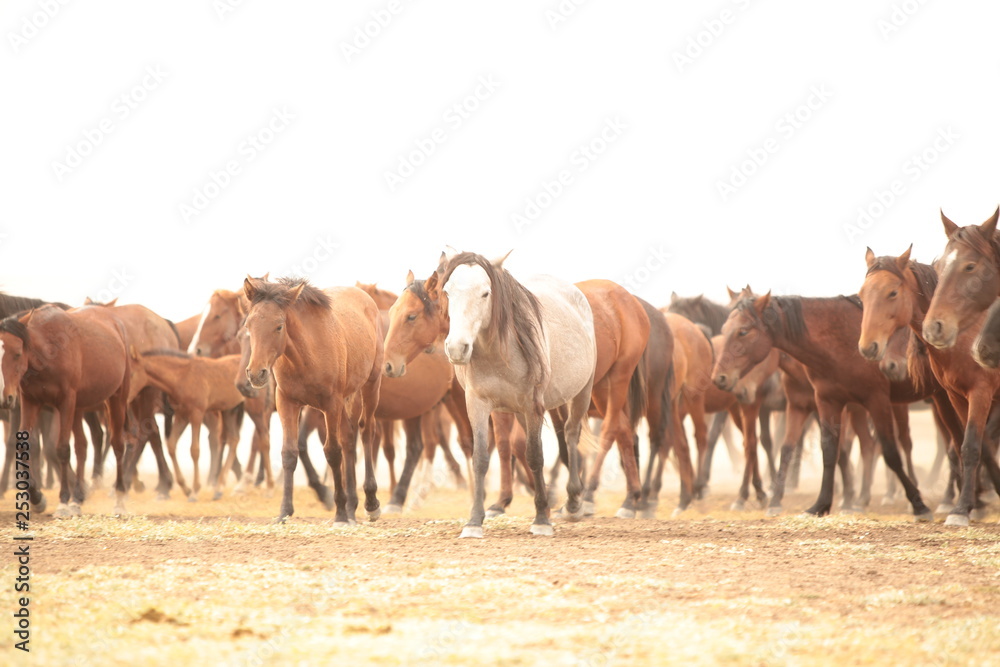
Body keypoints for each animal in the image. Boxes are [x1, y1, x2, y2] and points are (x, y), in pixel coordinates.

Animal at [0, 306, 133, 520]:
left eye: (18, 353)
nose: (5, 398)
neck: (49, 351)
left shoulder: (64, 403)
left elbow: (61, 449)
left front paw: (62, 502)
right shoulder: (30, 402)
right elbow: (24, 445)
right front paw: (37, 498)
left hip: (116, 399)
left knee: (118, 445)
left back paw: (119, 500)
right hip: (78, 408)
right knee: (82, 447)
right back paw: (77, 500)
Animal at [243, 276, 382, 528]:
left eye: (279, 326)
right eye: (248, 325)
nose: (256, 374)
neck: (306, 354)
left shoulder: (330, 404)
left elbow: (333, 452)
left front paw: (339, 514)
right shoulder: (287, 402)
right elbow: (289, 453)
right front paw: (284, 512)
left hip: (370, 386)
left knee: (366, 432)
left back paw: (370, 504)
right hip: (347, 399)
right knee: (349, 439)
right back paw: (352, 507)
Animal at [440, 250, 592, 536]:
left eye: (485, 293)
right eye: (447, 292)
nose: (456, 348)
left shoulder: (533, 406)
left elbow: (535, 456)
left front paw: (541, 520)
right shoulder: (478, 404)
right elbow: (481, 458)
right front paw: (474, 522)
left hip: (580, 393)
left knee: (570, 434)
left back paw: (573, 503)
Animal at [856, 248, 1000, 524]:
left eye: (892, 292)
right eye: (862, 294)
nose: (868, 347)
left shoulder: (980, 393)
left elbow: (970, 446)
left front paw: (962, 508)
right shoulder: (949, 398)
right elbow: (969, 446)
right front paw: (973, 502)